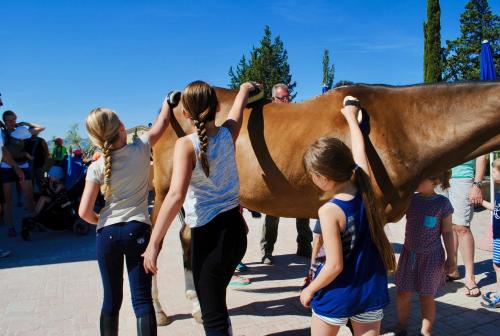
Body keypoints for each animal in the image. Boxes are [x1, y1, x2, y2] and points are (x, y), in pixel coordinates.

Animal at [150, 80, 500, 322]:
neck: (399, 124)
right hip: (166, 190)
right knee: (154, 244)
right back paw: (161, 312)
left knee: (187, 237)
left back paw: (197, 302)